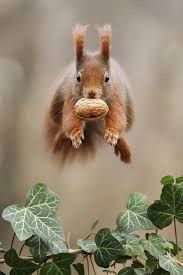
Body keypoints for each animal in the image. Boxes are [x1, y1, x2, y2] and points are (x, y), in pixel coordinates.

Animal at [44, 24, 134, 164]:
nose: (92, 93)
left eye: (107, 78)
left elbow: (117, 117)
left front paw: (112, 133)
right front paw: (75, 133)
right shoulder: (72, 97)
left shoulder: (115, 96)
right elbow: (70, 118)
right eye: (78, 78)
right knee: (62, 128)